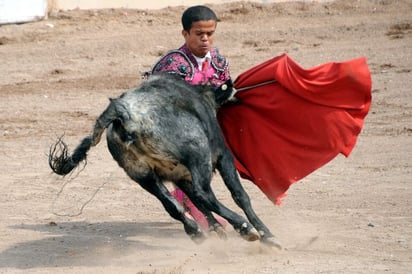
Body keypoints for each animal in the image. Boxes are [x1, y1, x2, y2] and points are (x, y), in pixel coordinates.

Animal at [48, 73, 280, 246]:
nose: (235, 90)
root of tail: (122, 113)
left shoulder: (179, 175)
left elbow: (191, 202)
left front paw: (216, 231)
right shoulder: (222, 156)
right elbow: (238, 195)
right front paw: (265, 234)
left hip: (141, 174)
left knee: (173, 205)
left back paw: (196, 232)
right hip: (198, 156)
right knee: (204, 194)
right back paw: (246, 228)